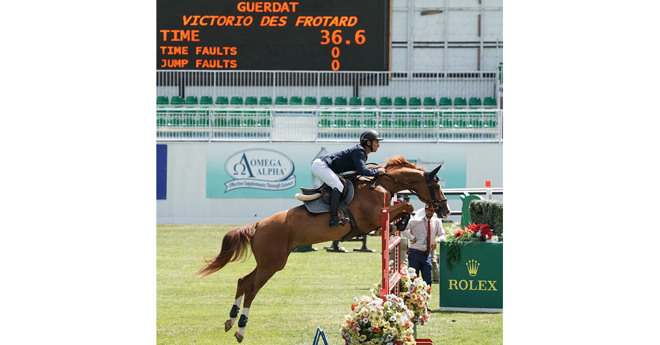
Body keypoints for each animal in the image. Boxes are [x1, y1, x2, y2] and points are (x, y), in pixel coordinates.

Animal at [196, 155, 452, 342]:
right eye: (436, 184)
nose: (445, 210)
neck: (380, 184)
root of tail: (259, 226)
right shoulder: (373, 220)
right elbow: (406, 206)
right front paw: (402, 221)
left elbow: (404, 208)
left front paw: (402, 223)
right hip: (272, 264)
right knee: (251, 289)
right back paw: (240, 329)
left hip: (269, 262)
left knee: (243, 281)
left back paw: (230, 320)